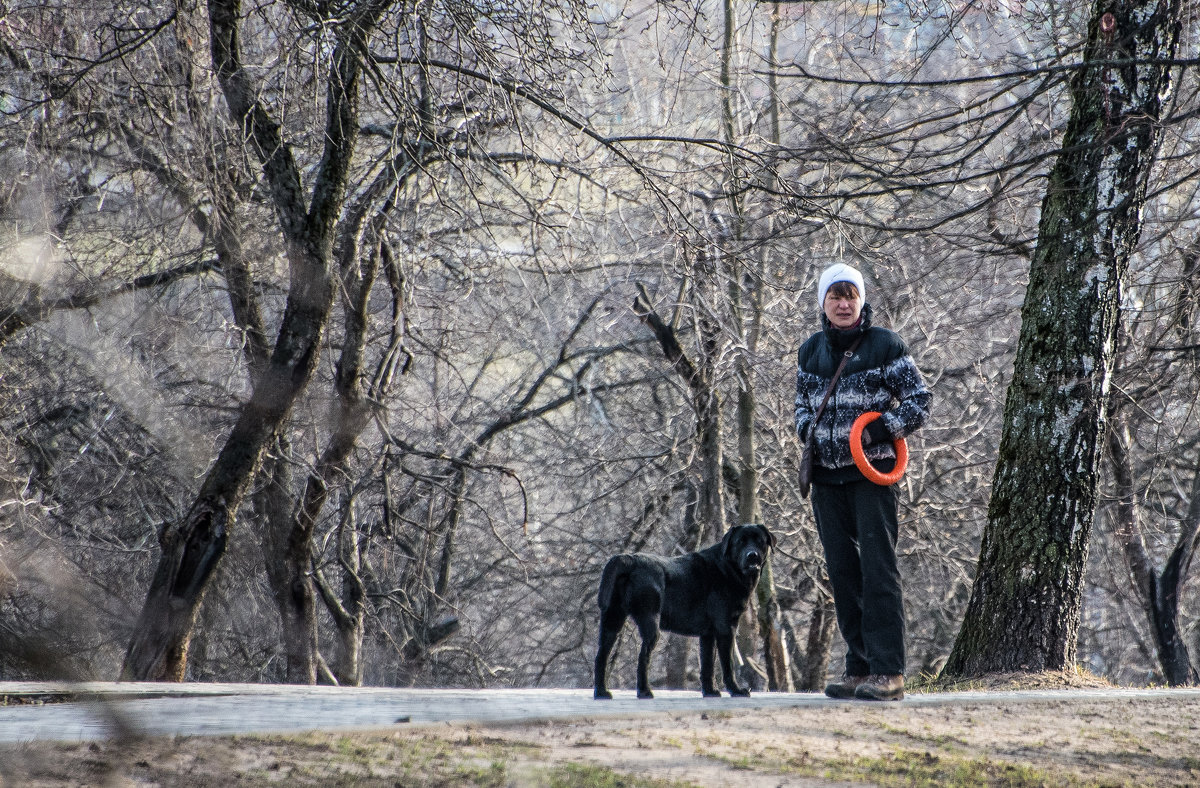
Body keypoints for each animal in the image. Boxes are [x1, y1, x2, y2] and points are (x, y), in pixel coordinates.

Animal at [592, 525, 777, 695]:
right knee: (643, 657)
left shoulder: (708, 634)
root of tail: (627, 560)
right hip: (650, 622)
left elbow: (707, 664)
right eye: (740, 542)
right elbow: (728, 664)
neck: (728, 567)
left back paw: (602, 693)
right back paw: (645, 692)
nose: (752, 555)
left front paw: (710, 691)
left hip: (612, 621)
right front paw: (736, 690)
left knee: (601, 656)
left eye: (760, 541)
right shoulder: (726, 628)